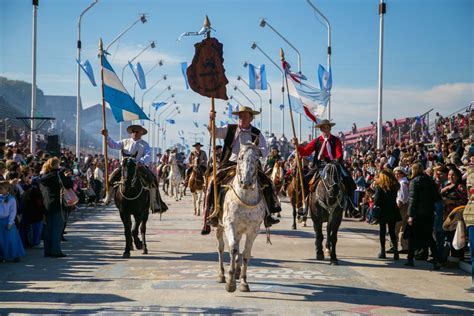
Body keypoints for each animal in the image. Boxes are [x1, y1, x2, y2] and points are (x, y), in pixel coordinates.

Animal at [216, 142, 266, 292]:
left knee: (239, 249)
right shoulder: (229, 224)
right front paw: (230, 283)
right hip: (219, 227)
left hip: (239, 231)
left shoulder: (253, 230)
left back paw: (238, 272)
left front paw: (244, 282)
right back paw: (222, 275)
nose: (246, 182)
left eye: (256, 159)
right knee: (221, 247)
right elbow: (232, 249)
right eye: (240, 157)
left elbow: (246, 253)